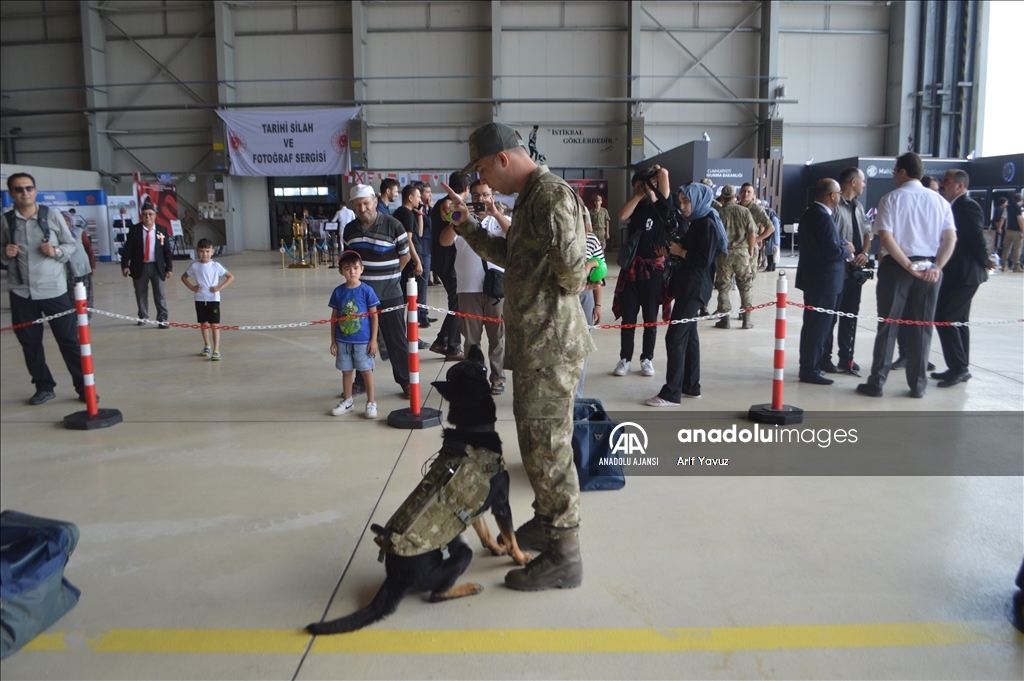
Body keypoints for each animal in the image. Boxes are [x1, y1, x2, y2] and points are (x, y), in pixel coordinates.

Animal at [303, 346, 528, 639]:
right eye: (476, 366)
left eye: (469, 365)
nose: (473, 348)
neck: (472, 430)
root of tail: (394, 576)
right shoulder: (501, 503)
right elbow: (510, 536)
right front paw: (520, 558)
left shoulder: (473, 508)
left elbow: (486, 531)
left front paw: (495, 548)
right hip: (460, 555)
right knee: (435, 595)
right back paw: (467, 587)